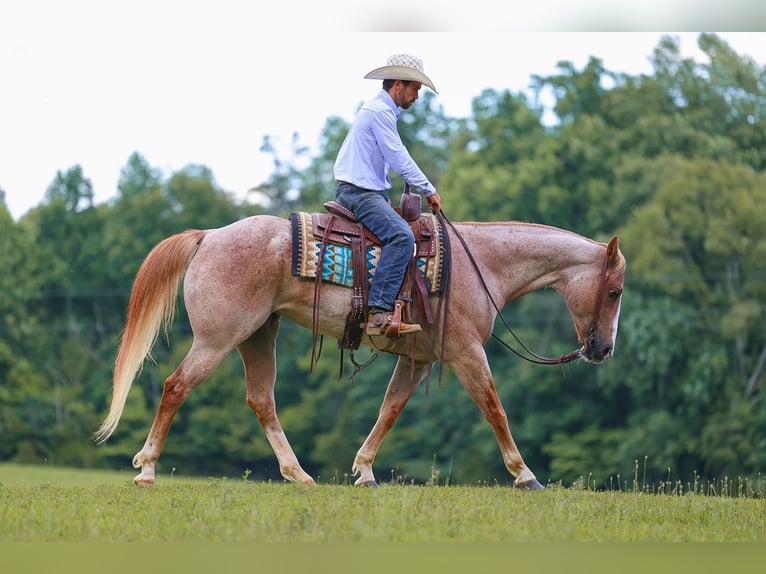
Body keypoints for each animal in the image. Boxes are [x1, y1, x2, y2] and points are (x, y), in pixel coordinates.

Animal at [93, 213, 625, 490]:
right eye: (615, 291)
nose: (602, 349)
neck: (481, 264)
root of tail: (210, 236)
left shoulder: (418, 360)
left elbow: (389, 410)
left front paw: (365, 471)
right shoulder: (465, 352)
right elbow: (494, 408)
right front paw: (525, 475)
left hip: (258, 336)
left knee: (261, 401)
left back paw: (299, 474)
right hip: (216, 339)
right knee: (175, 387)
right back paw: (148, 468)